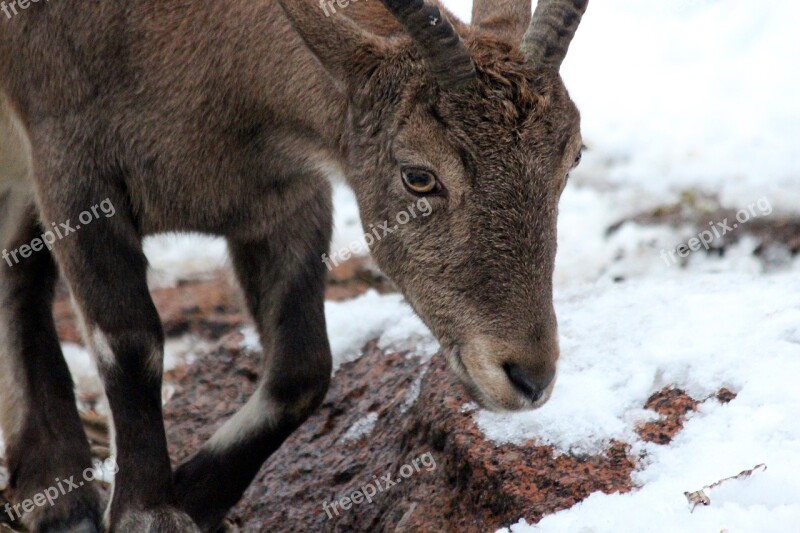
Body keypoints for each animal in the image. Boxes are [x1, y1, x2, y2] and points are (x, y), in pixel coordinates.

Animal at [0, 2, 588, 528]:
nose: (530, 378)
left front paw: (193, 495)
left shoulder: (286, 198)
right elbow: (129, 343)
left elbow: (302, 368)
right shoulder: (70, 166)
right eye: (419, 176)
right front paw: (149, 513)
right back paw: (60, 493)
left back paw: (47, 480)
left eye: (573, 157)